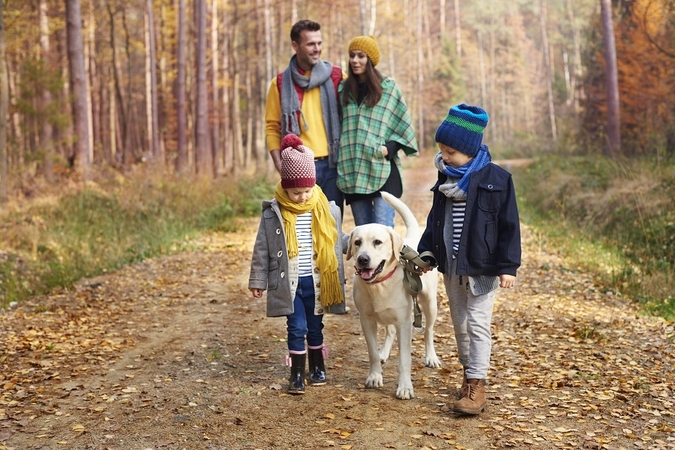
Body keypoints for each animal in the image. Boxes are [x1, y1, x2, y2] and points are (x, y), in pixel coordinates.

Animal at [346, 192, 440, 400]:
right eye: (357, 242)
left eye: (377, 242)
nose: (362, 259)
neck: (379, 284)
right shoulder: (366, 320)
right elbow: (372, 352)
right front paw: (374, 376)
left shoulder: (404, 323)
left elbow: (404, 359)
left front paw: (405, 387)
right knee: (389, 331)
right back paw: (383, 353)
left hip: (430, 303)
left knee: (429, 331)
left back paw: (431, 357)